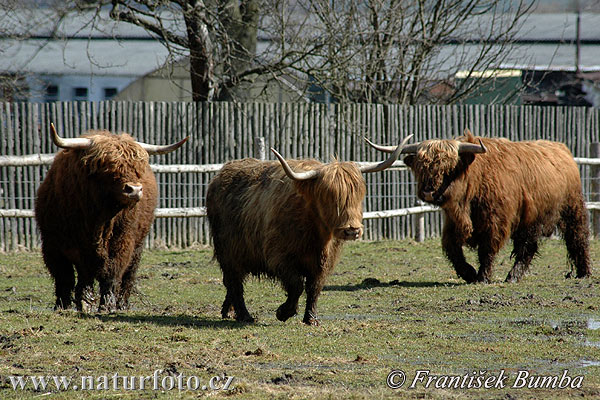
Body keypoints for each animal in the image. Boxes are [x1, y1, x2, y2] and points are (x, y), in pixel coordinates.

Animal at [36, 123, 186, 310]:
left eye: (137, 168)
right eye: (107, 166)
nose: (135, 190)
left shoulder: (123, 241)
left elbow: (112, 272)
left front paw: (106, 305)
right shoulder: (52, 245)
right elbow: (64, 276)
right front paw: (66, 305)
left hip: (138, 246)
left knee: (128, 275)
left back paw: (121, 304)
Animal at [207, 137, 412, 324]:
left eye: (359, 194)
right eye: (329, 197)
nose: (352, 230)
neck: (316, 234)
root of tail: (220, 175)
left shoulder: (324, 262)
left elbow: (315, 287)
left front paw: (311, 319)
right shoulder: (279, 257)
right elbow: (297, 285)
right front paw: (283, 312)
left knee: (231, 284)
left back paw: (228, 311)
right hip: (229, 252)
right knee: (235, 283)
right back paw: (244, 315)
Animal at [368, 130, 592, 282]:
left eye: (448, 168)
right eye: (421, 167)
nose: (428, 192)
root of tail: (562, 149)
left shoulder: (495, 221)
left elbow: (487, 249)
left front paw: (482, 277)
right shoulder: (452, 222)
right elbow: (452, 248)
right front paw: (468, 273)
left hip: (572, 209)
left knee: (577, 238)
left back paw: (583, 273)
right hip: (531, 219)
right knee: (528, 247)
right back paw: (514, 275)